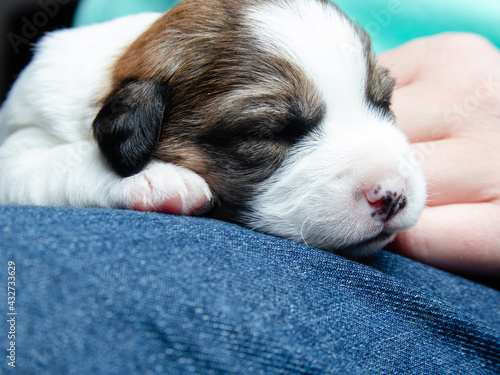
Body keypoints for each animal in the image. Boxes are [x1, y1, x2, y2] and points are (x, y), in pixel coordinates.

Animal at [0, 0, 426, 256]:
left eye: (383, 103)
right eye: (270, 133)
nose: (392, 194)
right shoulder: (17, 144)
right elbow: (61, 159)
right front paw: (158, 178)